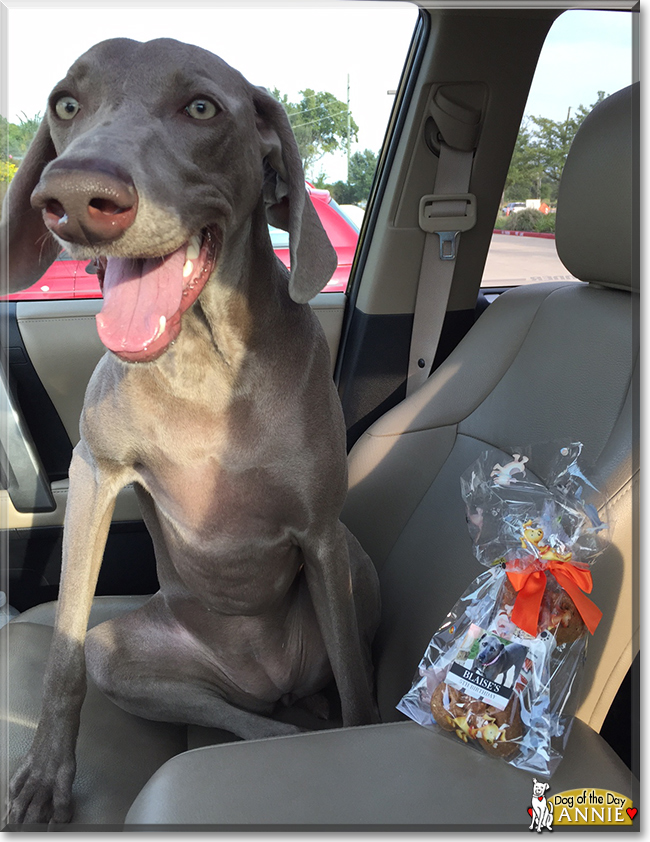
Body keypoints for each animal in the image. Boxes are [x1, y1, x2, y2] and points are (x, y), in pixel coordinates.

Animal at [2, 37, 380, 820]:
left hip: (357, 562)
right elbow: (62, 658)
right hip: (126, 652)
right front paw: (45, 777)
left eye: (201, 107)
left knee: (336, 669)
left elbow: (357, 683)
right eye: (66, 103)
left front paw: (358, 739)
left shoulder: (321, 533)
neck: (205, 358)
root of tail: (268, 677)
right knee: (238, 716)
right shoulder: (94, 473)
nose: (76, 196)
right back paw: (277, 727)